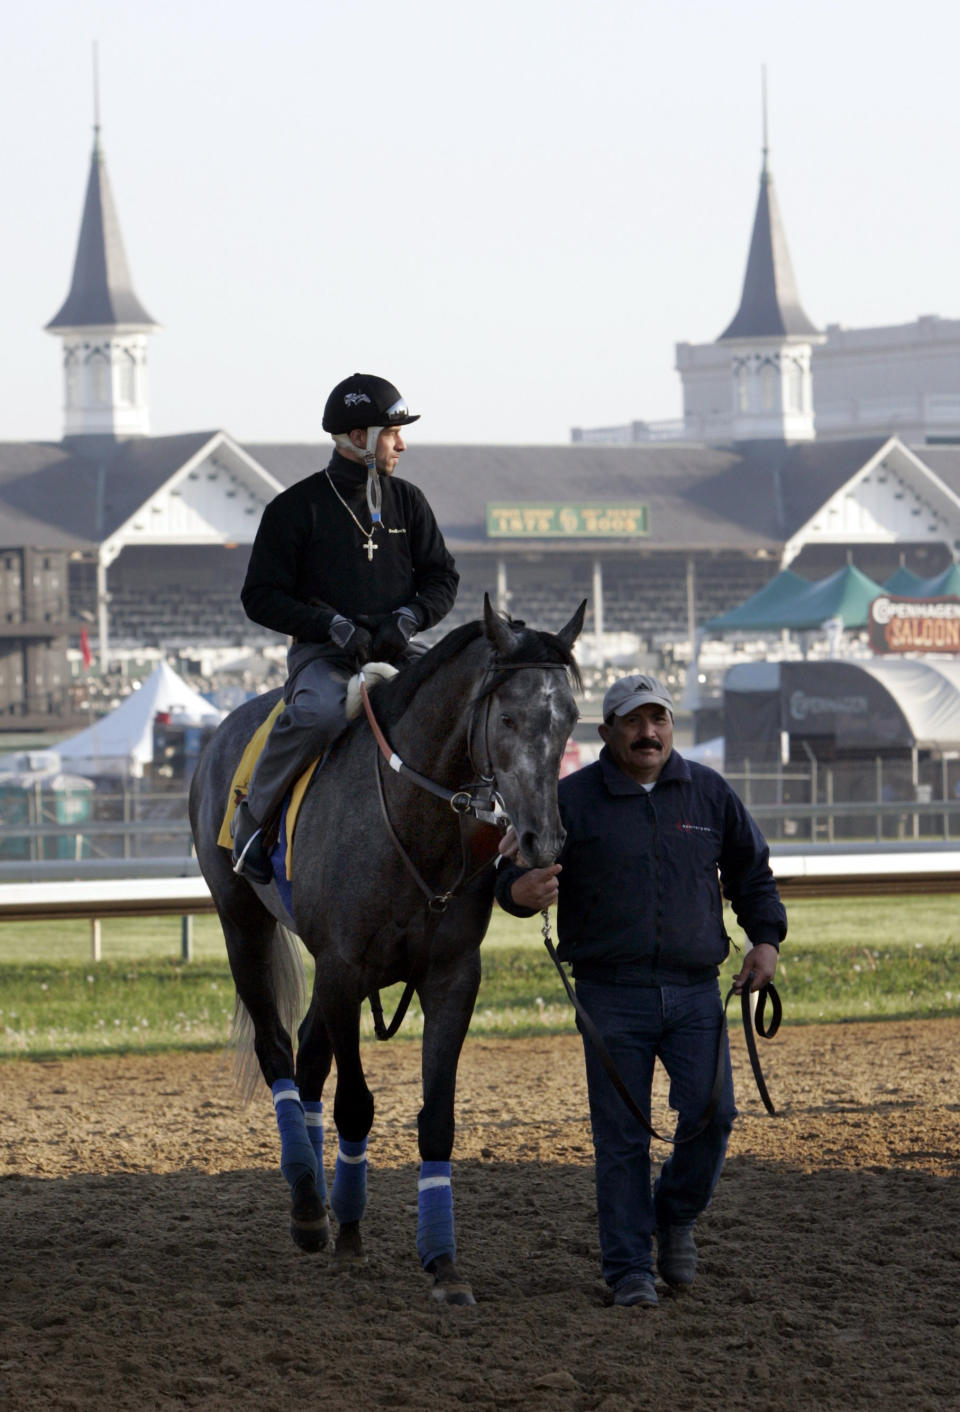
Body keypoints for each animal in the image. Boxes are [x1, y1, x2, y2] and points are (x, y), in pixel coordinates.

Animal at [184, 595, 578, 1299]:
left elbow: (436, 1118)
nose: (542, 841)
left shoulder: (452, 976)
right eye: (507, 716)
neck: (411, 819)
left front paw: (443, 1261)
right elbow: (356, 1106)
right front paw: (347, 1233)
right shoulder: (343, 966)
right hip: (243, 926)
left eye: (570, 721)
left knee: (309, 1060)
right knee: (278, 1052)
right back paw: (308, 1203)